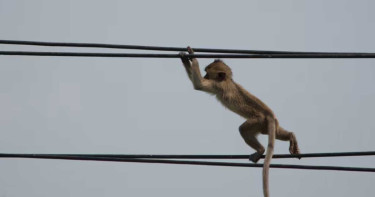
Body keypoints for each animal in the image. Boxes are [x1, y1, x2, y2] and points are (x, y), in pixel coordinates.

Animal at [181, 47, 302, 197]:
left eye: (207, 73)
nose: (205, 76)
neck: (226, 80)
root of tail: (269, 114)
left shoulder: (217, 85)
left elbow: (199, 84)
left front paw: (191, 56)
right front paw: (185, 57)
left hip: (258, 120)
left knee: (243, 129)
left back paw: (260, 150)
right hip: (266, 125)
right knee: (277, 132)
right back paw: (291, 136)